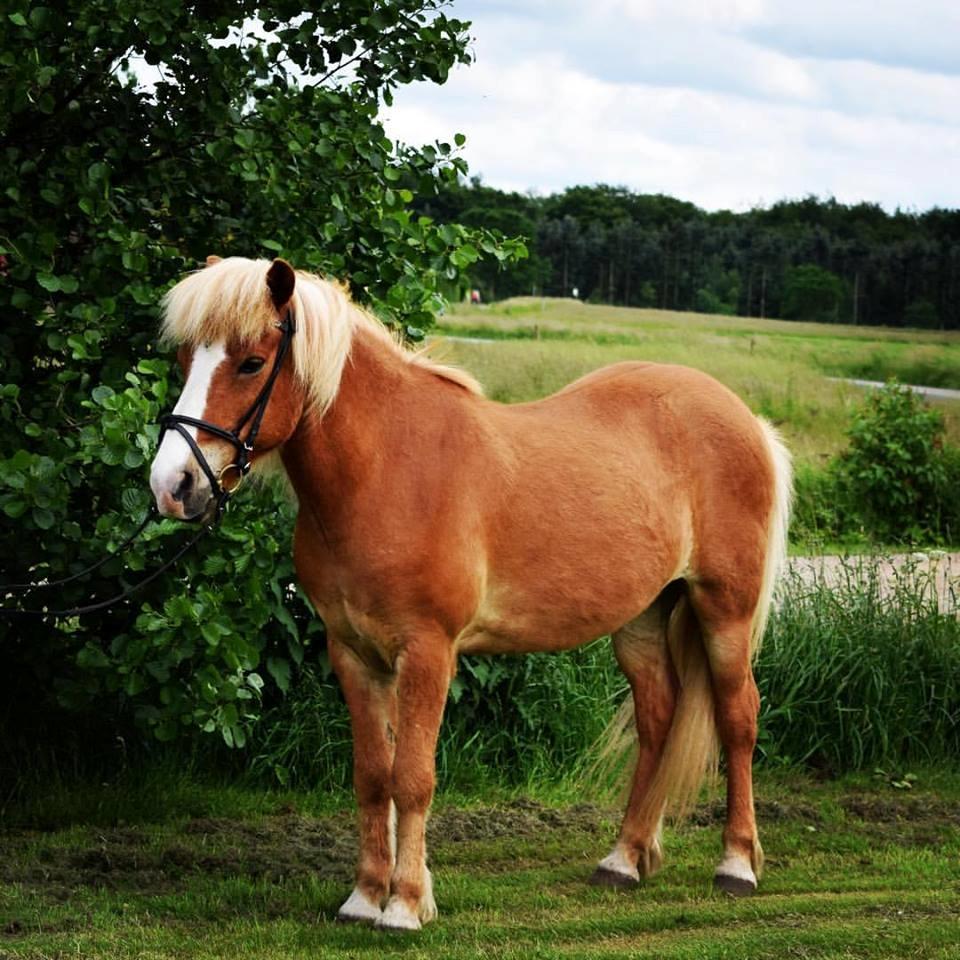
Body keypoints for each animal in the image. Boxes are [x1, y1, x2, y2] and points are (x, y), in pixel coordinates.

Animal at [150, 255, 792, 928]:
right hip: (642, 618)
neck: (388, 471)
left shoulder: (428, 652)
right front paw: (364, 897)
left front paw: (405, 904)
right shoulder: (353, 655)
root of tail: (749, 421)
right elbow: (373, 776)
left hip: (725, 610)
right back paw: (623, 859)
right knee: (657, 718)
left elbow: (412, 778)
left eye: (251, 362)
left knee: (738, 717)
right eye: (185, 358)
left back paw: (736, 865)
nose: (173, 485)